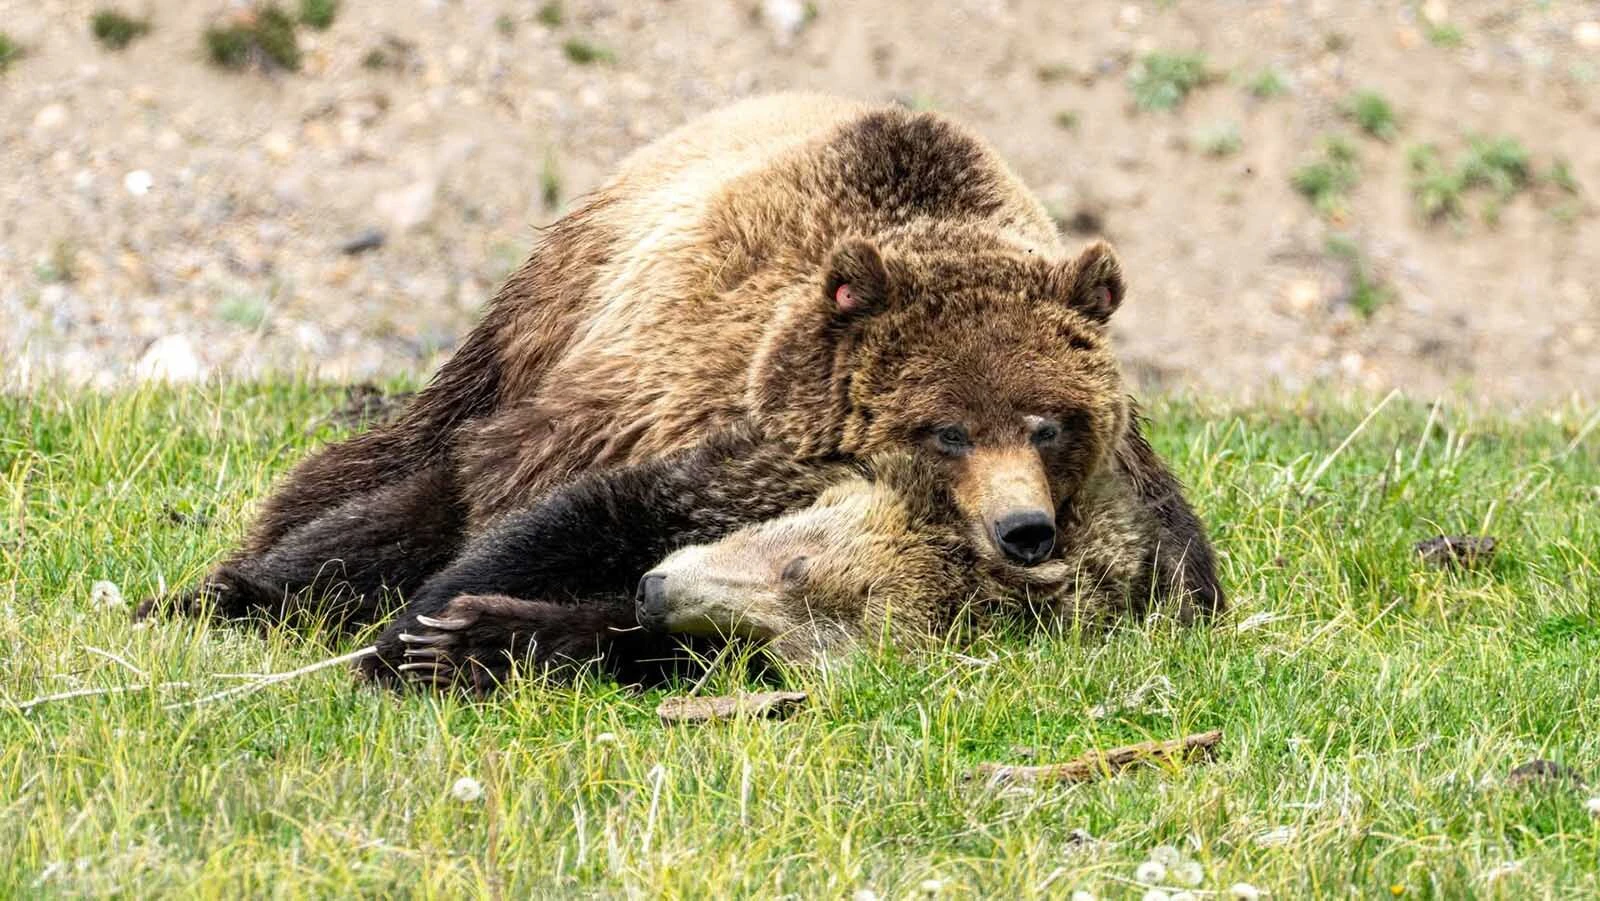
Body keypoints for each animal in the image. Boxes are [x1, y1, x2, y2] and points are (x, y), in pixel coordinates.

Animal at [148, 93, 1218, 643]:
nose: (1024, 529)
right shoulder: (663, 403)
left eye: (1052, 421)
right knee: (419, 448)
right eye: (944, 428)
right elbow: (498, 502)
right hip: (559, 299)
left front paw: (479, 633)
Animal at [366, 424, 1219, 693]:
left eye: (776, 648)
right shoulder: (749, 471)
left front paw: (470, 642)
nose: (655, 593)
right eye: (796, 564)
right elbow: (574, 518)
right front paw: (410, 634)